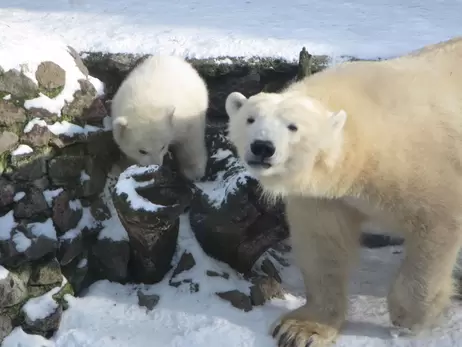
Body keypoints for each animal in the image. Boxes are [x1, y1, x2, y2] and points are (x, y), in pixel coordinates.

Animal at [110, 53, 208, 182]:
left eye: (162, 147)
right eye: (142, 151)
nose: (156, 165)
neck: (145, 103)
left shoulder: (184, 118)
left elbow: (190, 140)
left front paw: (193, 171)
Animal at [226, 36, 462, 347]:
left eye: (292, 126)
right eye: (250, 119)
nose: (262, 147)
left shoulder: (422, 164)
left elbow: (436, 224)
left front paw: (408, 317)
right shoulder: (326, 197)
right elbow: (323, 245)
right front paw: (299, 329)